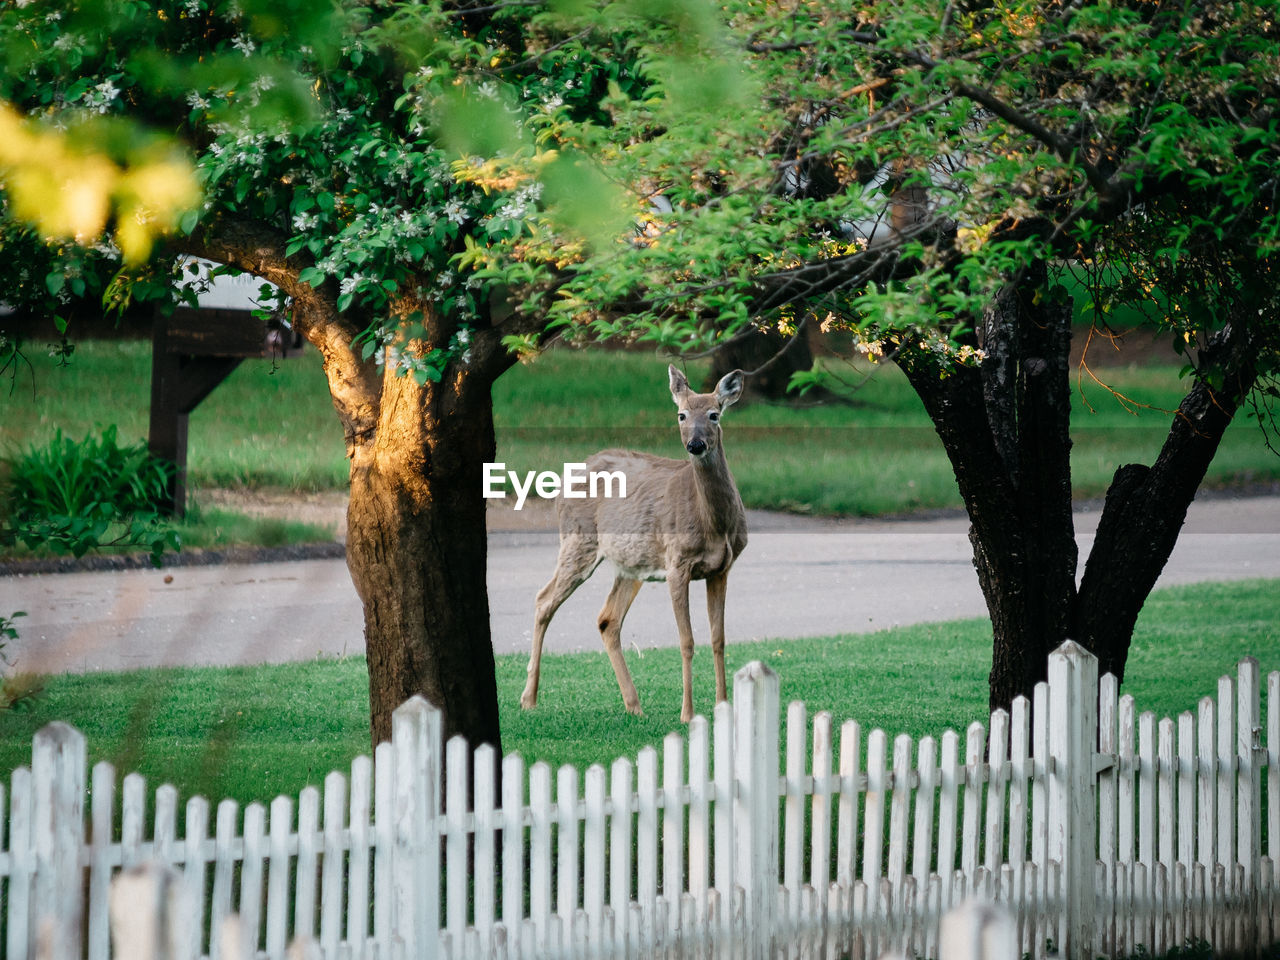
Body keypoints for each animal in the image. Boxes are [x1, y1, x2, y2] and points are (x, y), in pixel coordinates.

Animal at [519, 366, 747, 721]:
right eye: (681, 414)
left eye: (714, 414)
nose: (695, 444)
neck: (714, 523)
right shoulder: (677, 564)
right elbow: (687, 641)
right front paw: (687, 714)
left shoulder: (722, 568)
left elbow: (718, 639)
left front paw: (723, 707)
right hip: (577, 539)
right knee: (544, 600)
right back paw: (528, 698)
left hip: (630, 564)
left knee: (607, 619)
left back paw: (634, 704)